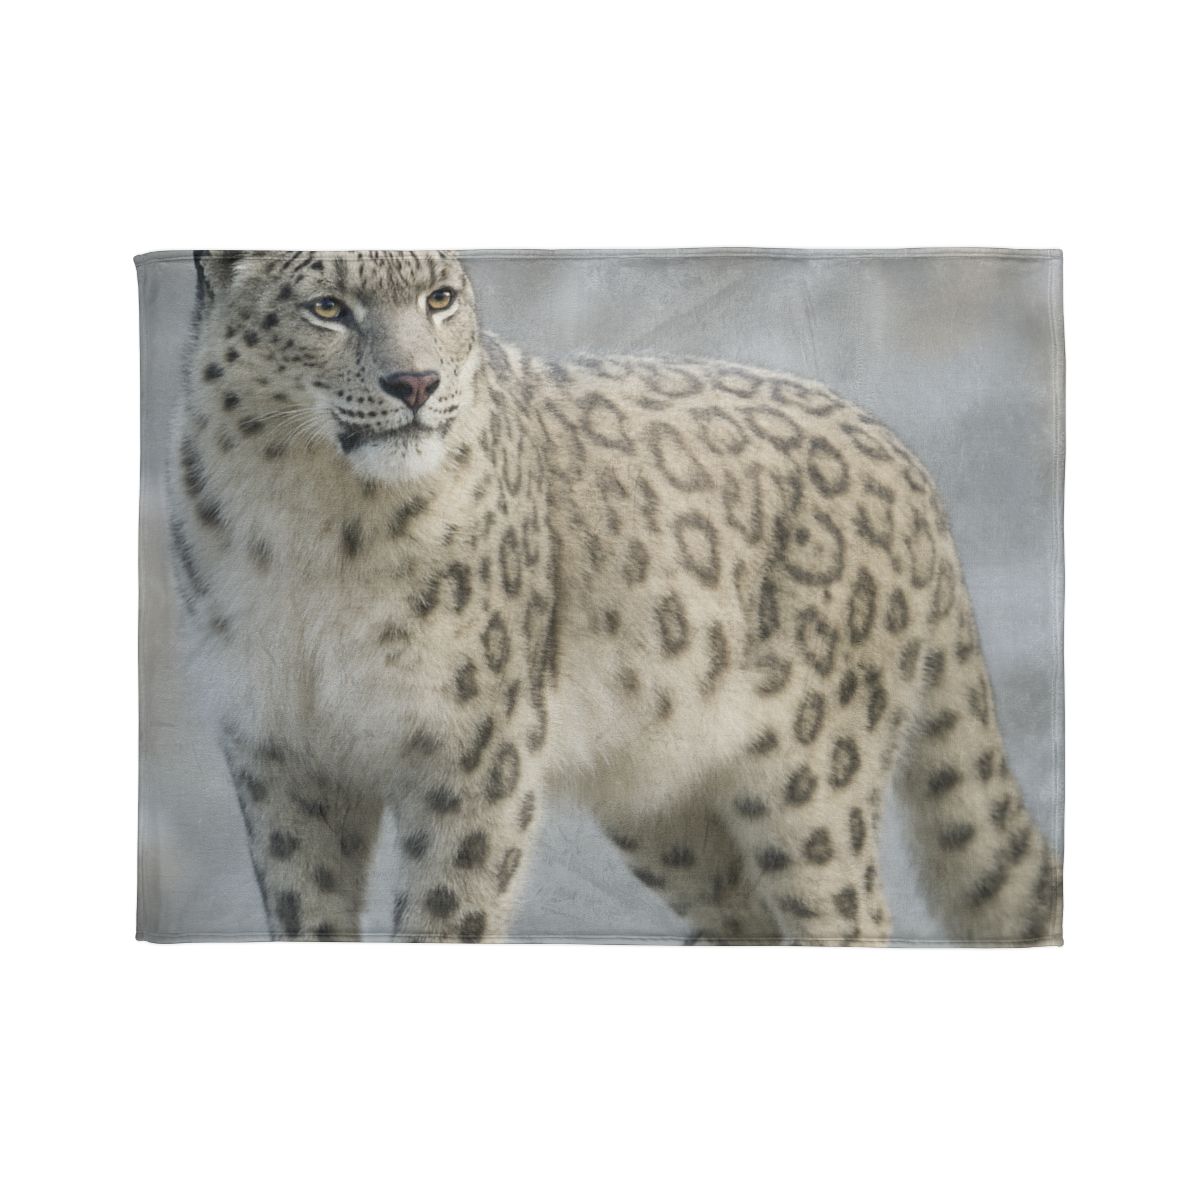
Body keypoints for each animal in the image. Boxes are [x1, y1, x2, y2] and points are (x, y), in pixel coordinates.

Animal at [167, 249, 1062, 944]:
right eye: (327, 307)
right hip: (660, 801)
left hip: (814, 778)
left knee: (847, 913)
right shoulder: (280, 751)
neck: (315, 532)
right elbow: (306, 913)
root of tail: (906, 459)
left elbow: (448, 910)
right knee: (744, 915)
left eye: (440, 297)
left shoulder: (474, 745)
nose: (415, 381)